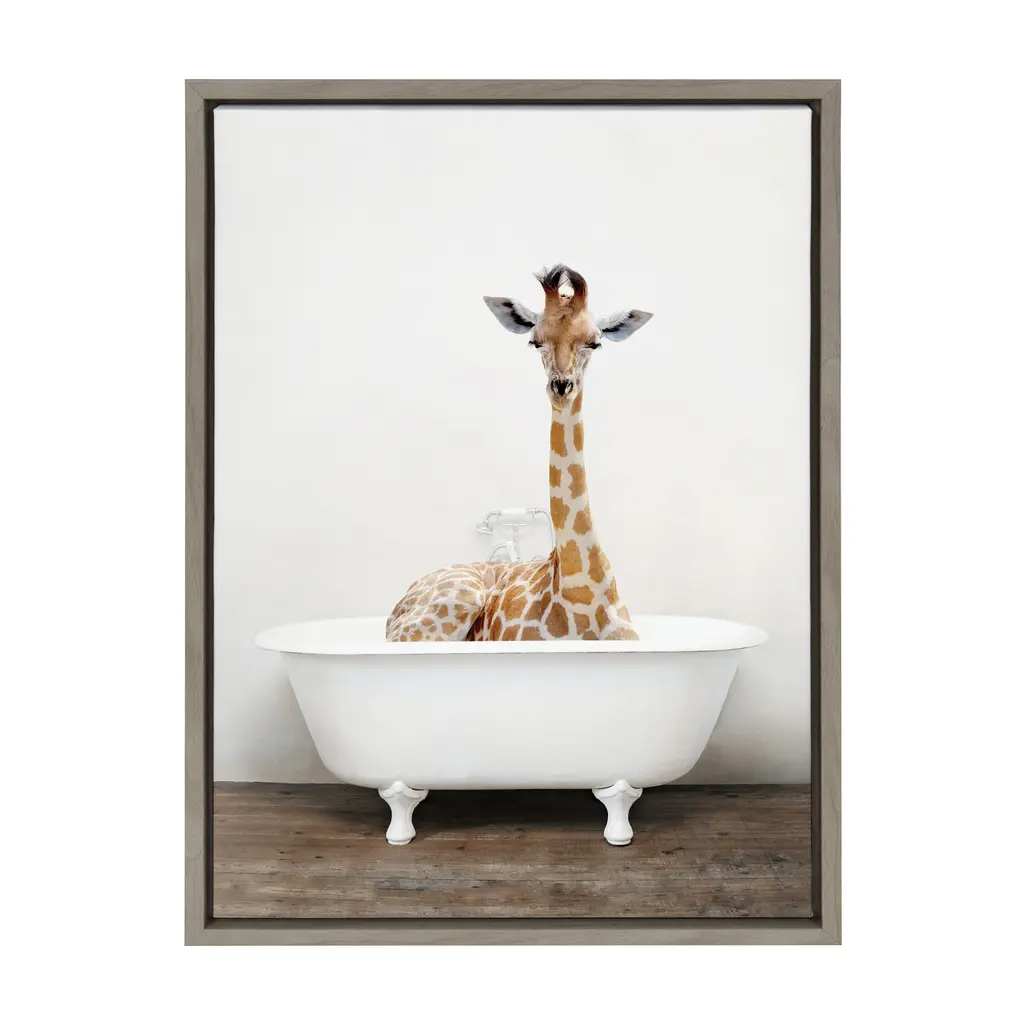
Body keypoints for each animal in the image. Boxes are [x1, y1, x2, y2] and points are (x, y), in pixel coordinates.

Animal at [385, 264, 652, 642]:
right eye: (535, 340)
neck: (581, 589)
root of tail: (395, 609)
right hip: (451, 603)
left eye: (595, 342)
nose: (561, 387)